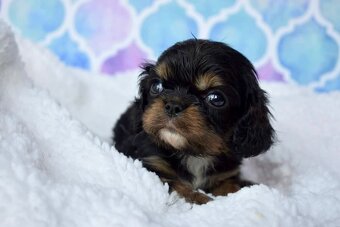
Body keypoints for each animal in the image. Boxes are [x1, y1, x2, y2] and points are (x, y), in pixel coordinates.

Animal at [113, 38, 274, 204]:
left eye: (216, 98)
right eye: (156, 86)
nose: (173, 106)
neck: (194, 154)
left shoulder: (225, 175)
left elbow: (231, 186)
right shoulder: (151, 166)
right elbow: (179, 187)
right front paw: (203, 200)